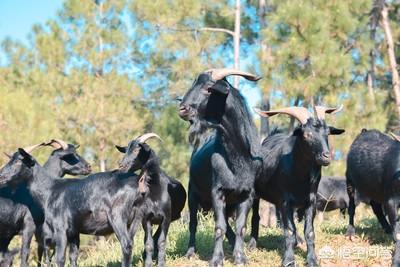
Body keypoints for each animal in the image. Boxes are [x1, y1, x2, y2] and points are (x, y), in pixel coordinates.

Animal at [0, 143, 147, 266]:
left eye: (18, 161)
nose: (1, 175)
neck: (50, 190)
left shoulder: (60, 228)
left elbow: (59, 258)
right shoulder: (74, 232)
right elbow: (73, 257)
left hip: (118, 216)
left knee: (126, 244)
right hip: (137, 219)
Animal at [115, 133, 186, 266]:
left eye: (137, 150)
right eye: (126, 150)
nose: (121, 166)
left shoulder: (166, 218)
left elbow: (161, 241)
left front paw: (161, 263)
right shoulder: (146, 219)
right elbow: (148, 243)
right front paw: (148, 263)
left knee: (157, 237)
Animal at [179, 68, 262, 266]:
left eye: (209, 88)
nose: (182, 109)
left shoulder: (248, 194)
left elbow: (240, 226)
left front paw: (240, 257)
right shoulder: (217, 192)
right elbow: (219, 227)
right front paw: (217, 259)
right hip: (193, 194)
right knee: (193, 223)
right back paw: (190, 252)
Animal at [253, 107, 344, 267]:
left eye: (327, 133)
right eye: (307, 135)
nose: (326, 156)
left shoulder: (310, 202)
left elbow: (309, 232)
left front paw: (312, 260)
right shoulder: (285, 201)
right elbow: (289, 230)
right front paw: (289, 260)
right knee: (256, 216)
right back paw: (252, 244)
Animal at [346, 129, 400, 266]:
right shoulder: (391, 201)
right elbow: (398, 230)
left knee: (376, 207)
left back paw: (387, 229)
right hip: (350, 182)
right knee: (351, 207)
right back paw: (350, 233)